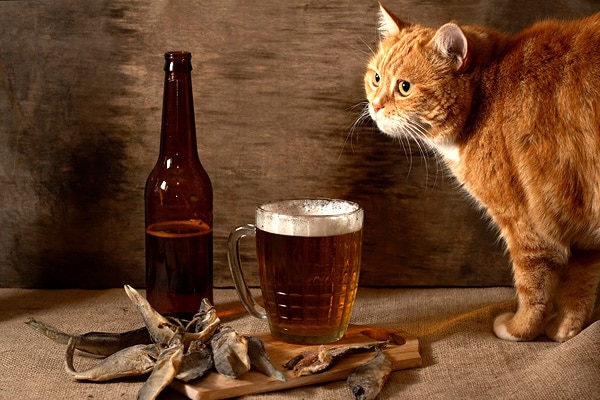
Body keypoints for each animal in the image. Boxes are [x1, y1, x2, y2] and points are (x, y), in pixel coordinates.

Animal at [366, 4, 600, 342]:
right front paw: (566, 330)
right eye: (376, 78)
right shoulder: (583, 233)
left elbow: (533, 288)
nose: (374, 105)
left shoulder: (528, 226)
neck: (485, 100)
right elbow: (580, 288)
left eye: (404, 87)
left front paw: (519, 330)